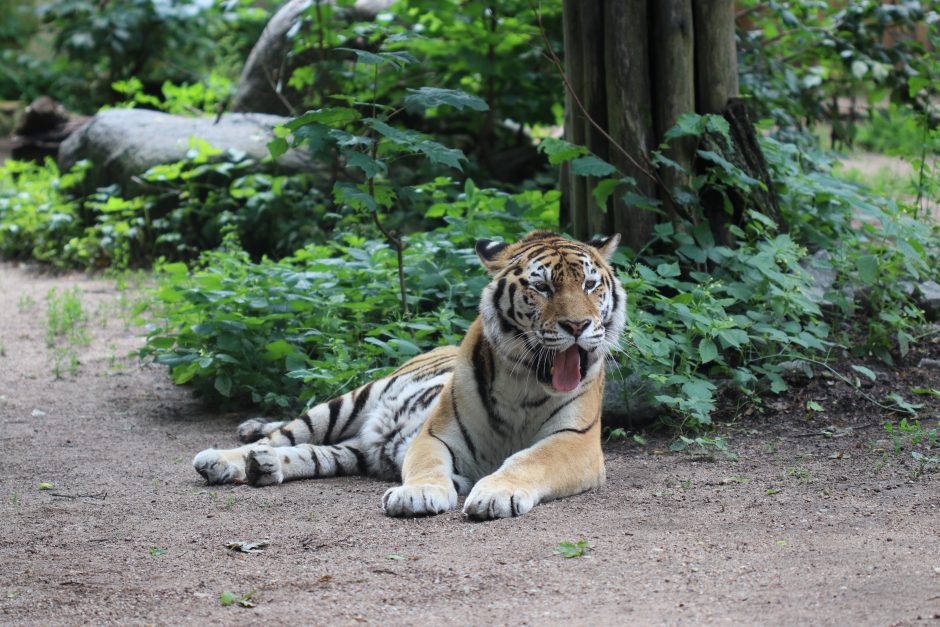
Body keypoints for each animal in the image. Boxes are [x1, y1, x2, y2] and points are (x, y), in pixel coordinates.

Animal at [193, 231, 624, 520]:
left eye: (590, 284)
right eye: (542, 287)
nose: (577, 326)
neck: (526, 381)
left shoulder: (576, 442)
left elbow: (529, 460)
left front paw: (494, 494)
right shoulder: (436, 434)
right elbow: (428, 466)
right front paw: (416, 494)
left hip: (354, 451)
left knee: (312, 453)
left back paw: (264, 466)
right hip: (351, 401)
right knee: (283, 434)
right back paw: (222, 458)